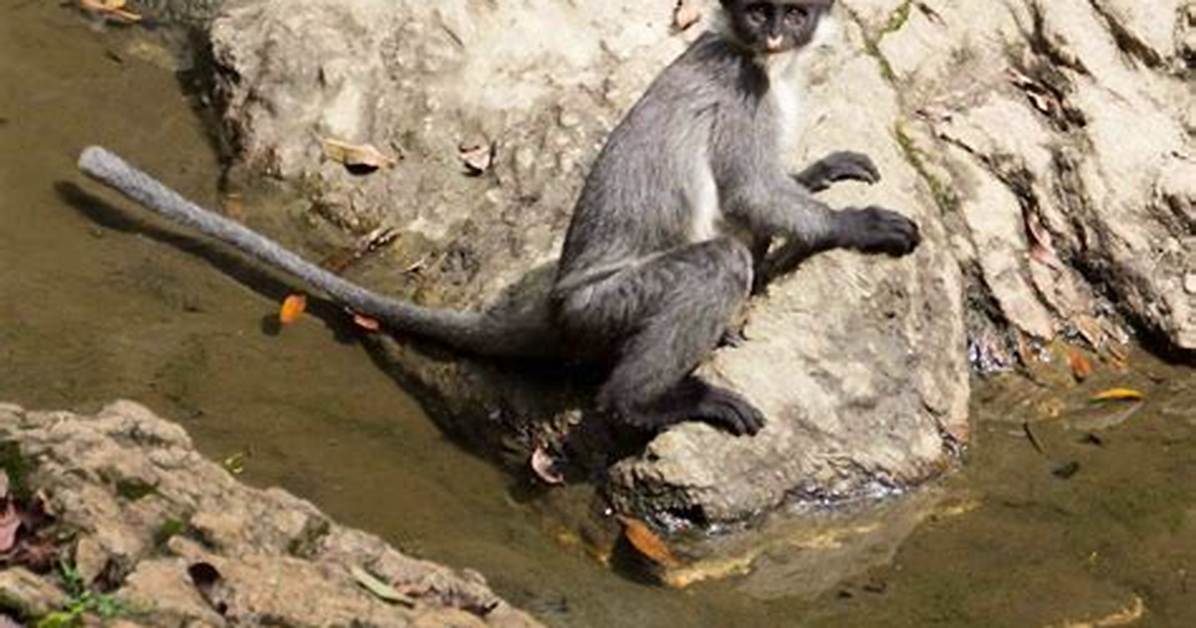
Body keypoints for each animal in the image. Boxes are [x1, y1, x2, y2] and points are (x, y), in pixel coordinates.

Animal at [78, 0, 919, 440]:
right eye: (756, 11)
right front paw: (855, 224)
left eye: (792, 13)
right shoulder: (739, 84)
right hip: (602, 309)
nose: (771, 31)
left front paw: (819, 175)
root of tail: (556, 304)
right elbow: (747, 192)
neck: (765, 66)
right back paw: (641, 403)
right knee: (716, 263)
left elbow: (766, 195)